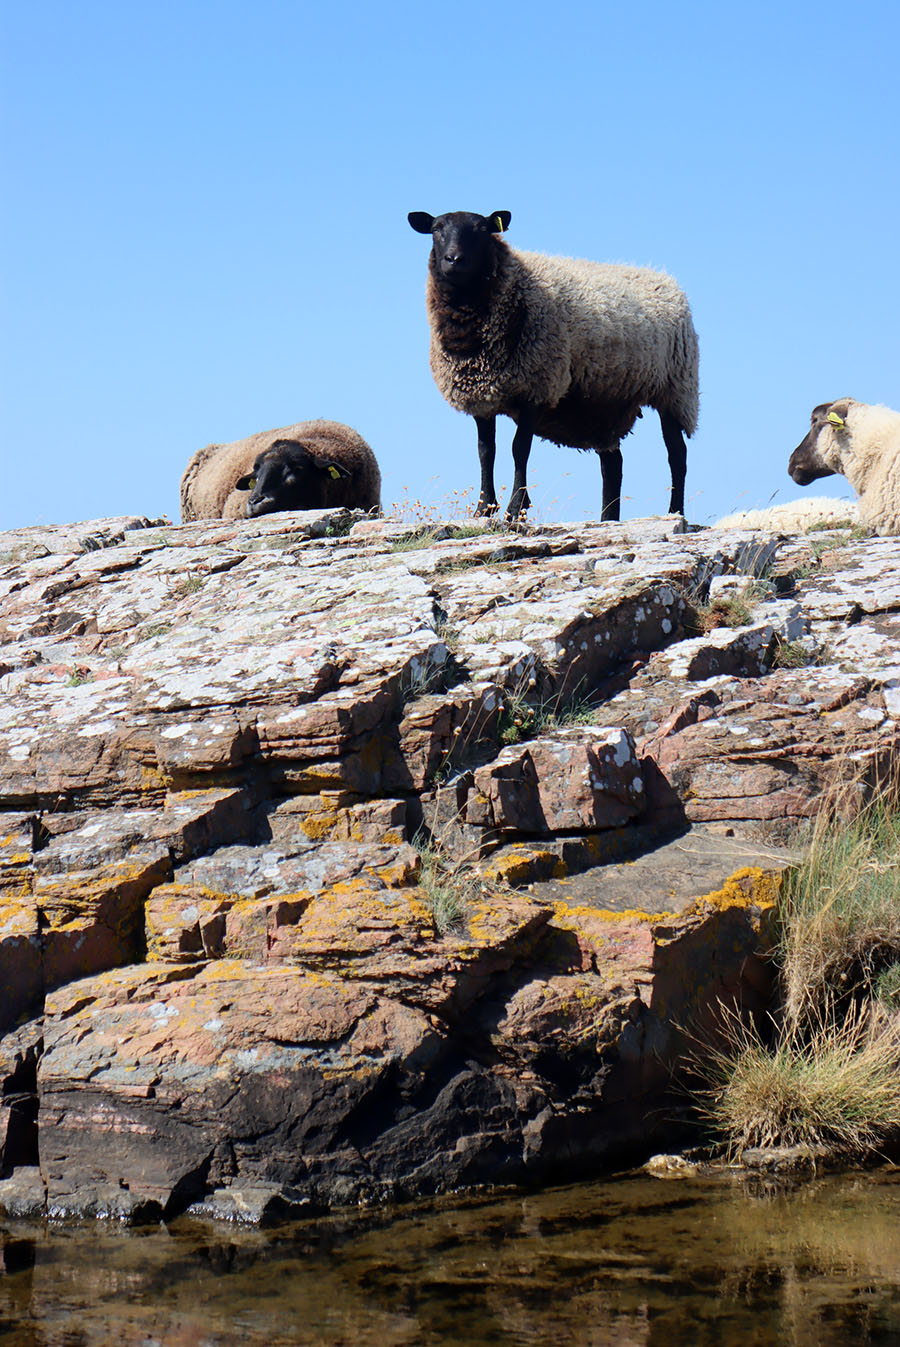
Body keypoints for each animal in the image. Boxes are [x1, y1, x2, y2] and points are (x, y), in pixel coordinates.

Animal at [406, 208, 695, 519]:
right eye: (436, 228)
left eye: (482, 229)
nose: (454, 259)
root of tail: (664, 277)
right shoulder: (481, 394)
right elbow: (486, 450)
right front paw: (484, 508)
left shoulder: (535, 386)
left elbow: (519, 448)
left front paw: (515, 508)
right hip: (604, 403)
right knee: (613, 464)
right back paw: (608, 517)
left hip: (675, 390)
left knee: (677, 455)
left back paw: (675, 511)